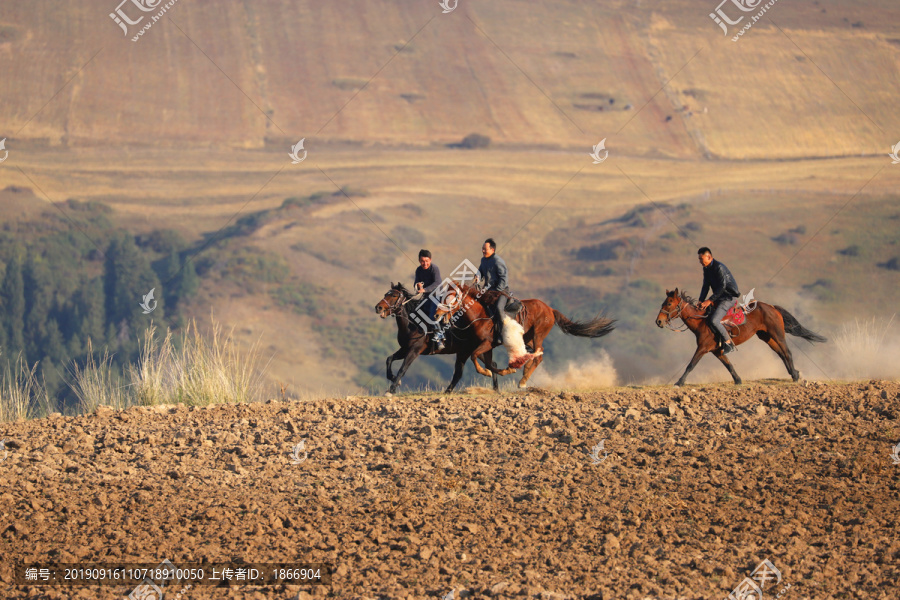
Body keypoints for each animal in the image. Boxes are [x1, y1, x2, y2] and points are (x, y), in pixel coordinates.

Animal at [372, 284, 500, 396]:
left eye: (394, 295)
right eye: (385, 294)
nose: (378, 307)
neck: (413, 324)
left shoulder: (414, 350)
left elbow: (402, 368)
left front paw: (392, 389)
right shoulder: (405, 349)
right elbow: (389, 359)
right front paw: (394, 379)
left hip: (467, 351)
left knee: (461, 372)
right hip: (469, 351)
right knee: (490, 364)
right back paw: (494, 389)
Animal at [436, 284, 620, 390]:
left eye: (452, 298)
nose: (437, 314)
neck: (480, 316)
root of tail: (550, 309)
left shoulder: (487, 343)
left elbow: (477, 359)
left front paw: (487, 372)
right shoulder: (485, 346)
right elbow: (489, 363)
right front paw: (507, 370)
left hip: (538, 334)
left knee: (539, 355)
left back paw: (523, 380)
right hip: (528, 337)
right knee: (539, 352)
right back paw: (524, 371)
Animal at [652, 290, 828, 384]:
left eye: (669, 303)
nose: (658, 321)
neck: (702, 321)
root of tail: (772, 307)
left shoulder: (702, 348)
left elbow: (691, 365)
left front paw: (679, 382)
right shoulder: (717, 351)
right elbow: (728, 365)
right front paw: (738, 380)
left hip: (777, 334)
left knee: (787, 352)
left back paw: (796, 376)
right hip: (767, 337)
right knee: (781, 353)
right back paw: (794, 373)